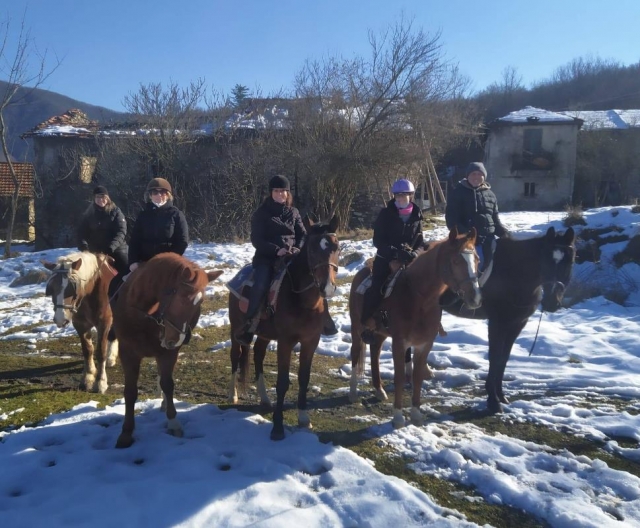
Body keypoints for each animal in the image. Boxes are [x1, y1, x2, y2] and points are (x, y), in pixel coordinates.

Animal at [42, 251, 118, 394]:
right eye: (52, 288)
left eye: (71, 288)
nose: (60, 319)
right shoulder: (80, 325)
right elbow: (87, 350)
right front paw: (88, 377)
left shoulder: (104, 323)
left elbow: (100, 351)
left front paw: (101, 382)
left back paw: (111, 356)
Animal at [111, 252, 223, 448]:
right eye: (179, 296)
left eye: (200, 302)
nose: (177, 338)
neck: (143, 315)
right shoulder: (128, 354)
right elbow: (130, 392)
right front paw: (126, 433)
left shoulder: (168, 353)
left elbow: (167, 384)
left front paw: (173, 423)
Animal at [228, 216, 340, 440]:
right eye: (312, 249)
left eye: (337, 247)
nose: (327, 287)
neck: (303, 301)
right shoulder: (286, 342)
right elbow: (282, 382)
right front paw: (278, 428)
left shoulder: (310, 341)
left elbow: (304, 379)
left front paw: (304, 418)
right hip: (236, 330)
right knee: (235, 357)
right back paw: (233, 395)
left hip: (264, 334)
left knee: (258, 355)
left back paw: (264, 398)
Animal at [349, 228, 482, 429]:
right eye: (456, 261)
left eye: (477, 259)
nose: (475, 298)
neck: (419, 298)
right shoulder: (399, 343)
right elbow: (398, 378)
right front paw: (397, 417)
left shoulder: (424, 344)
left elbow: (417, 377)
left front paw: (416, 414)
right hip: (357, 327)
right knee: (356, 353)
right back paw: (353, 391)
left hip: (379, 333)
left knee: (375, 352)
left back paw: (379, 389)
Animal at [442, 226, 575, 414]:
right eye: (546, 261)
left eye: (569, 262)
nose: (551, 302)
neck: (513, 273)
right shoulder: (497, 323)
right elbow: (495, 357)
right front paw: (493, 401)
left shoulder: (517, 323)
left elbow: (504, 358)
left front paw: (501, 395)